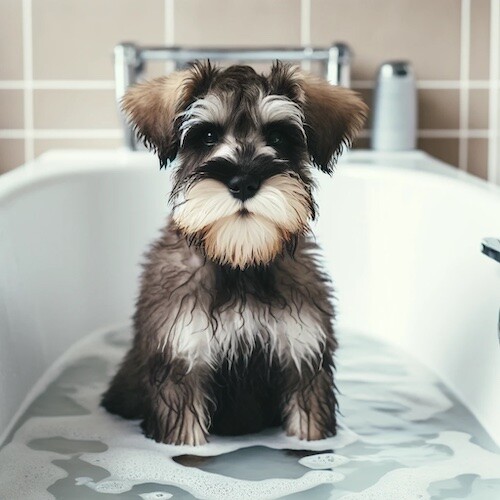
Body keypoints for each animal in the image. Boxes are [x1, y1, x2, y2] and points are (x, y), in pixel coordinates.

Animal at [101, 61, 368, 446]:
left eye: (279, 137)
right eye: (208, 136)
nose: (243, 182)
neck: (241, 261)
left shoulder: (304, 360)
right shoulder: (182, 365)